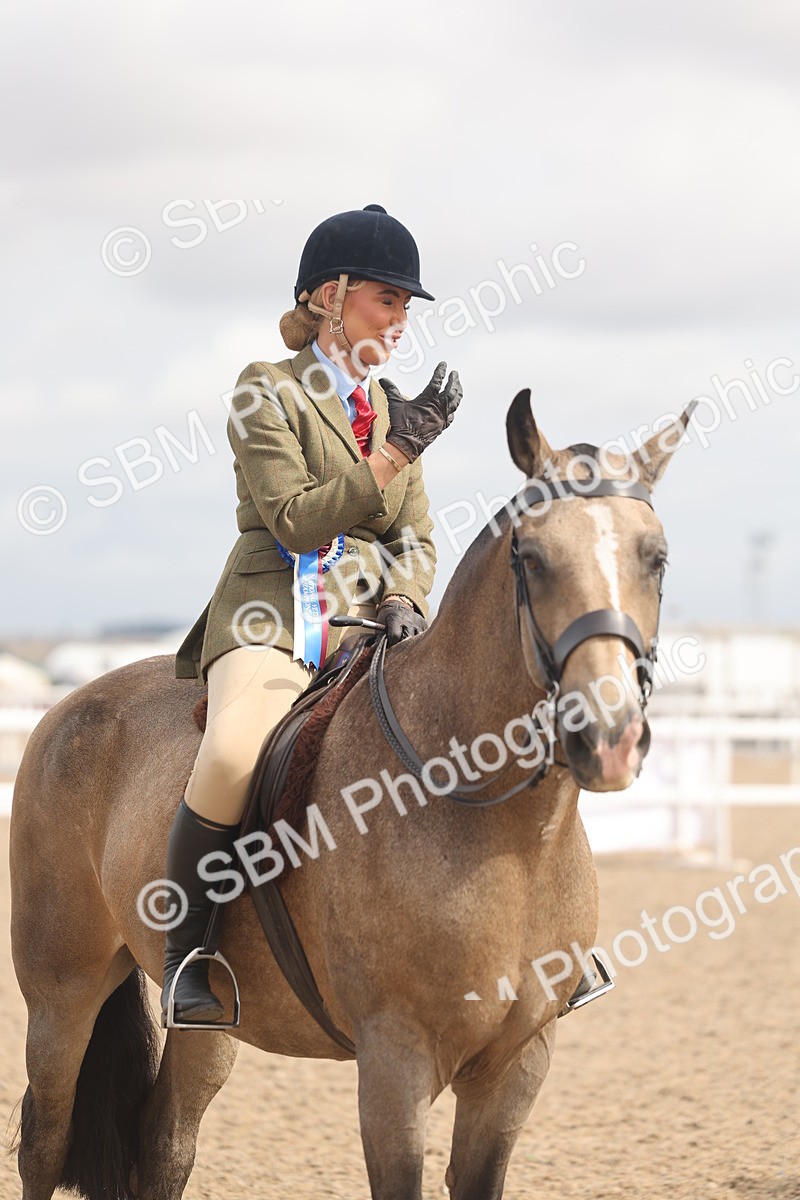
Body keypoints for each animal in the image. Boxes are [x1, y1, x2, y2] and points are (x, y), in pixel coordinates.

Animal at [9, 389, 693, 1200]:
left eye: (656, 558)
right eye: (531, 558)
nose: (608, 734)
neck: (502, 832)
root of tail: (67, 707)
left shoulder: (517, 1065)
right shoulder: (395, 1062)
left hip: (211, 1026)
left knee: (165, 1141)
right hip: (62, 992)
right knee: (45, 1140)